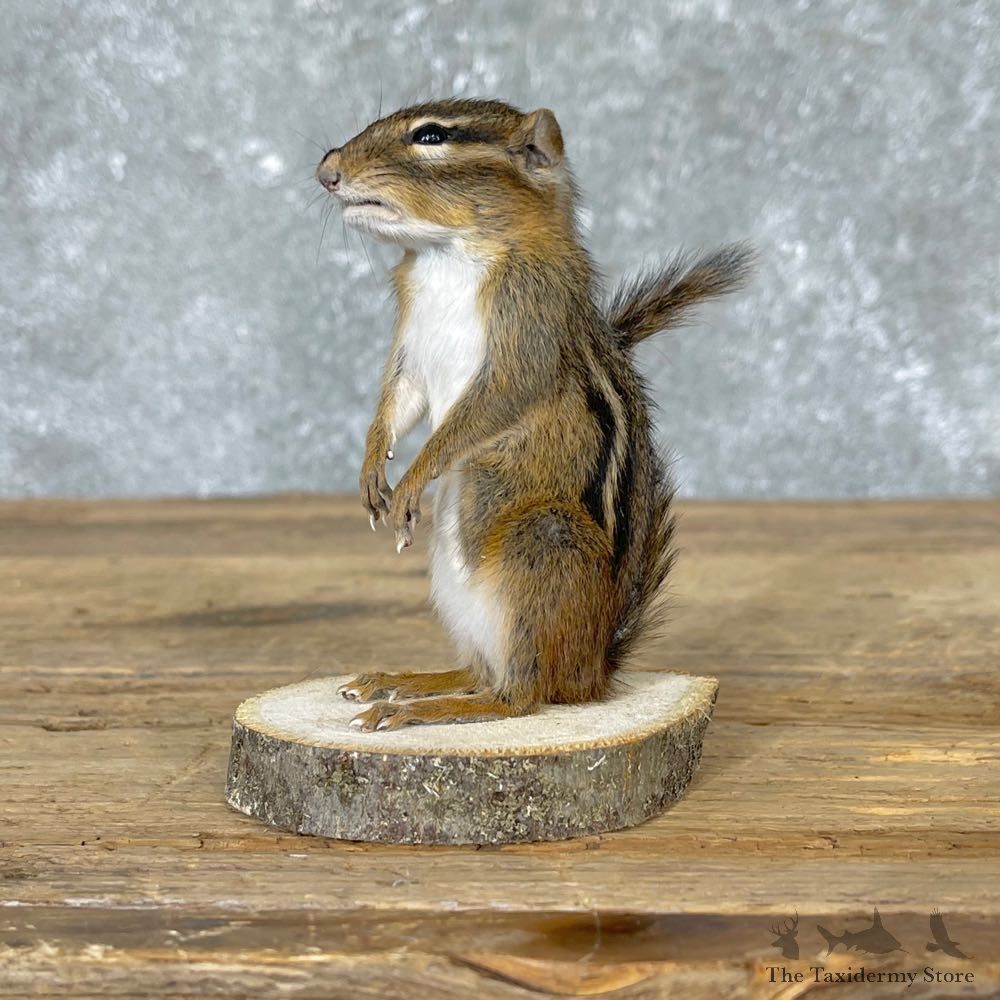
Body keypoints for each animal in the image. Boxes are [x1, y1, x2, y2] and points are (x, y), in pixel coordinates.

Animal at [315, 99, 752, 732]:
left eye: (431, 136)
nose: (327, 170)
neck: (448, 256)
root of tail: (592, 672)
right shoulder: (411, 348)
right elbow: (400, 403)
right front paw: (374, 469)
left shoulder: (527, 335)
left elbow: (483, 410)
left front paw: (413, 480)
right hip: (457, 590)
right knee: (480, 673)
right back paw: (402, 683)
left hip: (539, 544)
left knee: (517, 697)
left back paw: (418, 708)